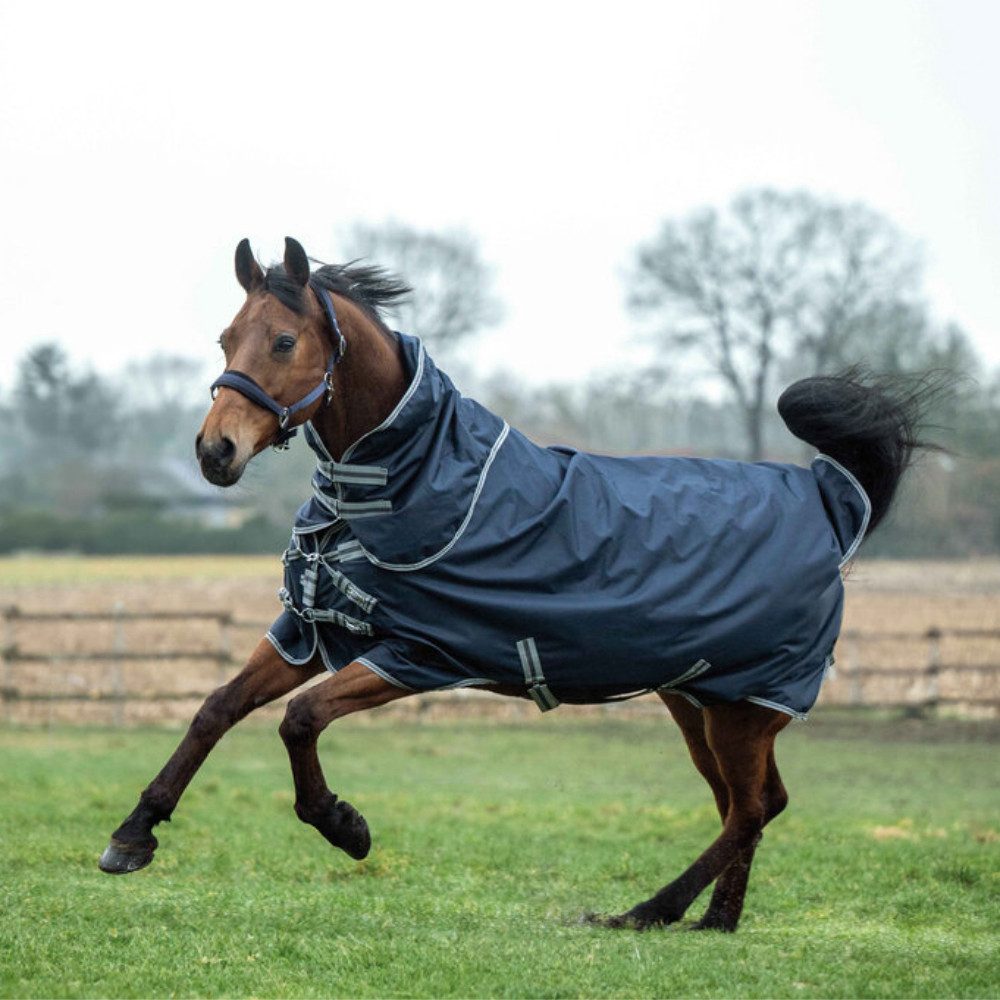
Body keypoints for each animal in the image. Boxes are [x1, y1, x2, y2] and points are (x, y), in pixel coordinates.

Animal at [99, 236, 937, 932]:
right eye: (225, 338)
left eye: (282, 340)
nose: (215, 452)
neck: (406, 481)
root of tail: (828, 502)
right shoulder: (316, 628)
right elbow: (217, 708)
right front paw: (132, 836)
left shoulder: (418, 655)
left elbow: (299, 720)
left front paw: (345, 826)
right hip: (701, 701)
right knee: (756, 804)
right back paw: (713, 922)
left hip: (743, 708)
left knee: (750, 809)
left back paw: (646, 912)